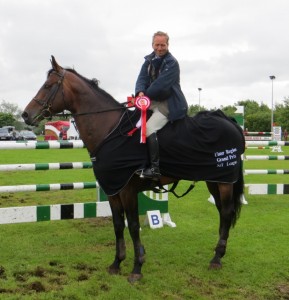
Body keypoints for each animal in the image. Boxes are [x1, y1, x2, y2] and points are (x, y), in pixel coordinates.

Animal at [21, 56, 244, 284]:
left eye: (48, 86)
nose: (26, 114)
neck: (110, 131)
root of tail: (227, 120)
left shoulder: (127, 190)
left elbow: (134, 226)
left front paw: (137, 267)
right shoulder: (113, 190)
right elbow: (119, 224)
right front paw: (117, 263)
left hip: (224, 181)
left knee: (226, 212)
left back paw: (216, 258)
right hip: (213, 180)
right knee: (222, 212)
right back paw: (218, 253)